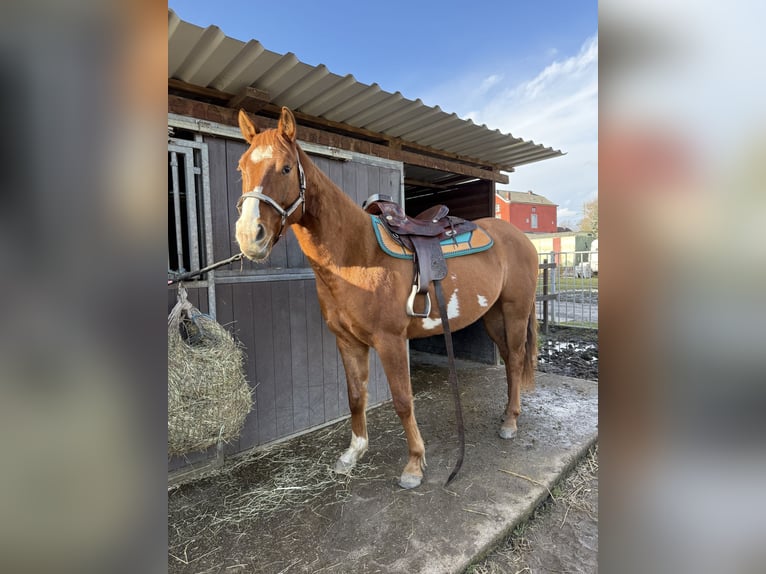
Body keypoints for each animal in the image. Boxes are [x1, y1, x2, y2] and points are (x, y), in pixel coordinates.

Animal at [234, 107, 539, 489]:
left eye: (286, 168)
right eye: (242, 168)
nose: (250, 236)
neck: (357, 253)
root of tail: (522, 238)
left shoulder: (390, 341)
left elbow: (403, 400)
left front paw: (414, 464)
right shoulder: (347, 341)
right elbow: (355, 397)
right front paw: (353, 453)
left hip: (515, 311)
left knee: (515, 358)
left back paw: (511, 422)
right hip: (493, 315)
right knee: (509, 360)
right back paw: (507, 414)